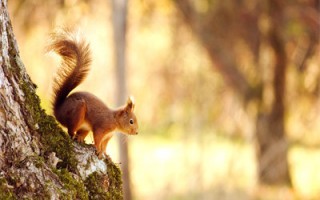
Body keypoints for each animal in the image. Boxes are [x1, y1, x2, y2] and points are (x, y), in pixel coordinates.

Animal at [48, 30, 138, 158]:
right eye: (131, 121)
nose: (137, 132)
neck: (114, 120)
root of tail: (58, 111)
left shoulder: (108, 136)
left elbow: (104, 145)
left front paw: (105, 154)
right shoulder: (101, 128)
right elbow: (98, 139)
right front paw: (98, 149)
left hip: (84, 126)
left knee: (80, 132)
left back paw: (80, 138)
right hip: (77, 111)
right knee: (70, 130)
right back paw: (73, 135)